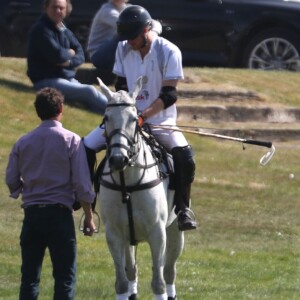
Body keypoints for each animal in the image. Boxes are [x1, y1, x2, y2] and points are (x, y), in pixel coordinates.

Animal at [97, 77, 184, 300]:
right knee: (131, 270)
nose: (118, 159)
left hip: (175, 230)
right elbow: (121, 282)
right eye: (106, 117)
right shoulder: (114, 234)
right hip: (129, 238)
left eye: (134, 119)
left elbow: (158, 283)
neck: (127, 182)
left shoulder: (158, 233)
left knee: (169, 271)